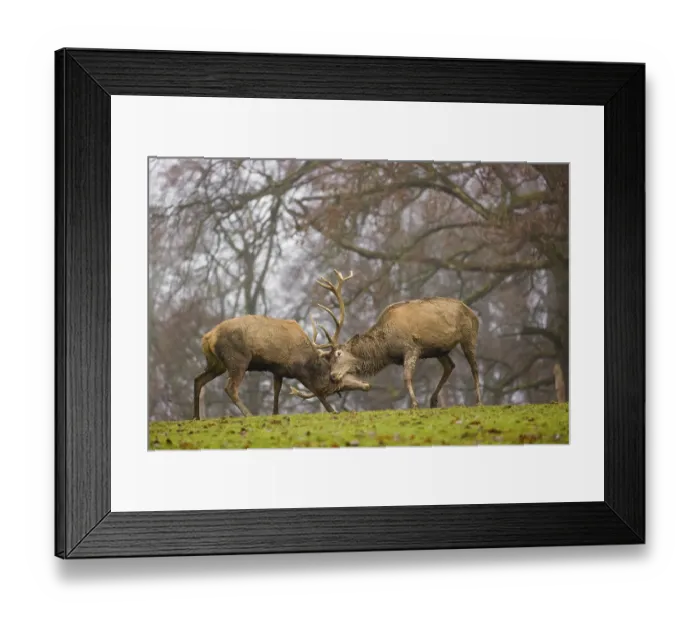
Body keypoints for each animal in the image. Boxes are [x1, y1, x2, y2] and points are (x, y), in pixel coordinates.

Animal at [192, 270, 370, 420]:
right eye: (334, 382)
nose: (366, 386)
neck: (310, 359)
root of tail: (208, 338)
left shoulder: (278, 370)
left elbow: (277, 391)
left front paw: (275, 413)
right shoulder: (297, 369)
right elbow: (316, 391)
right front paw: (332, 411)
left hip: (217, 363)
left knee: (198, 380)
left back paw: (196, 417)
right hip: (237, 359)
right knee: (230, 388)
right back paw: (249, 414)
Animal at [320, 290, 483, 410]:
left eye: (338, 354)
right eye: (328, 359)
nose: (332, 376)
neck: (386, 348)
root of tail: (473, 313)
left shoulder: (412, 348)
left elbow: (406, 377)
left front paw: (415, 404)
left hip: (469, 335)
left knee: (474, 367)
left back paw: (478, 401)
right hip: (438, 350)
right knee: (450, 366)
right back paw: (433, 401)